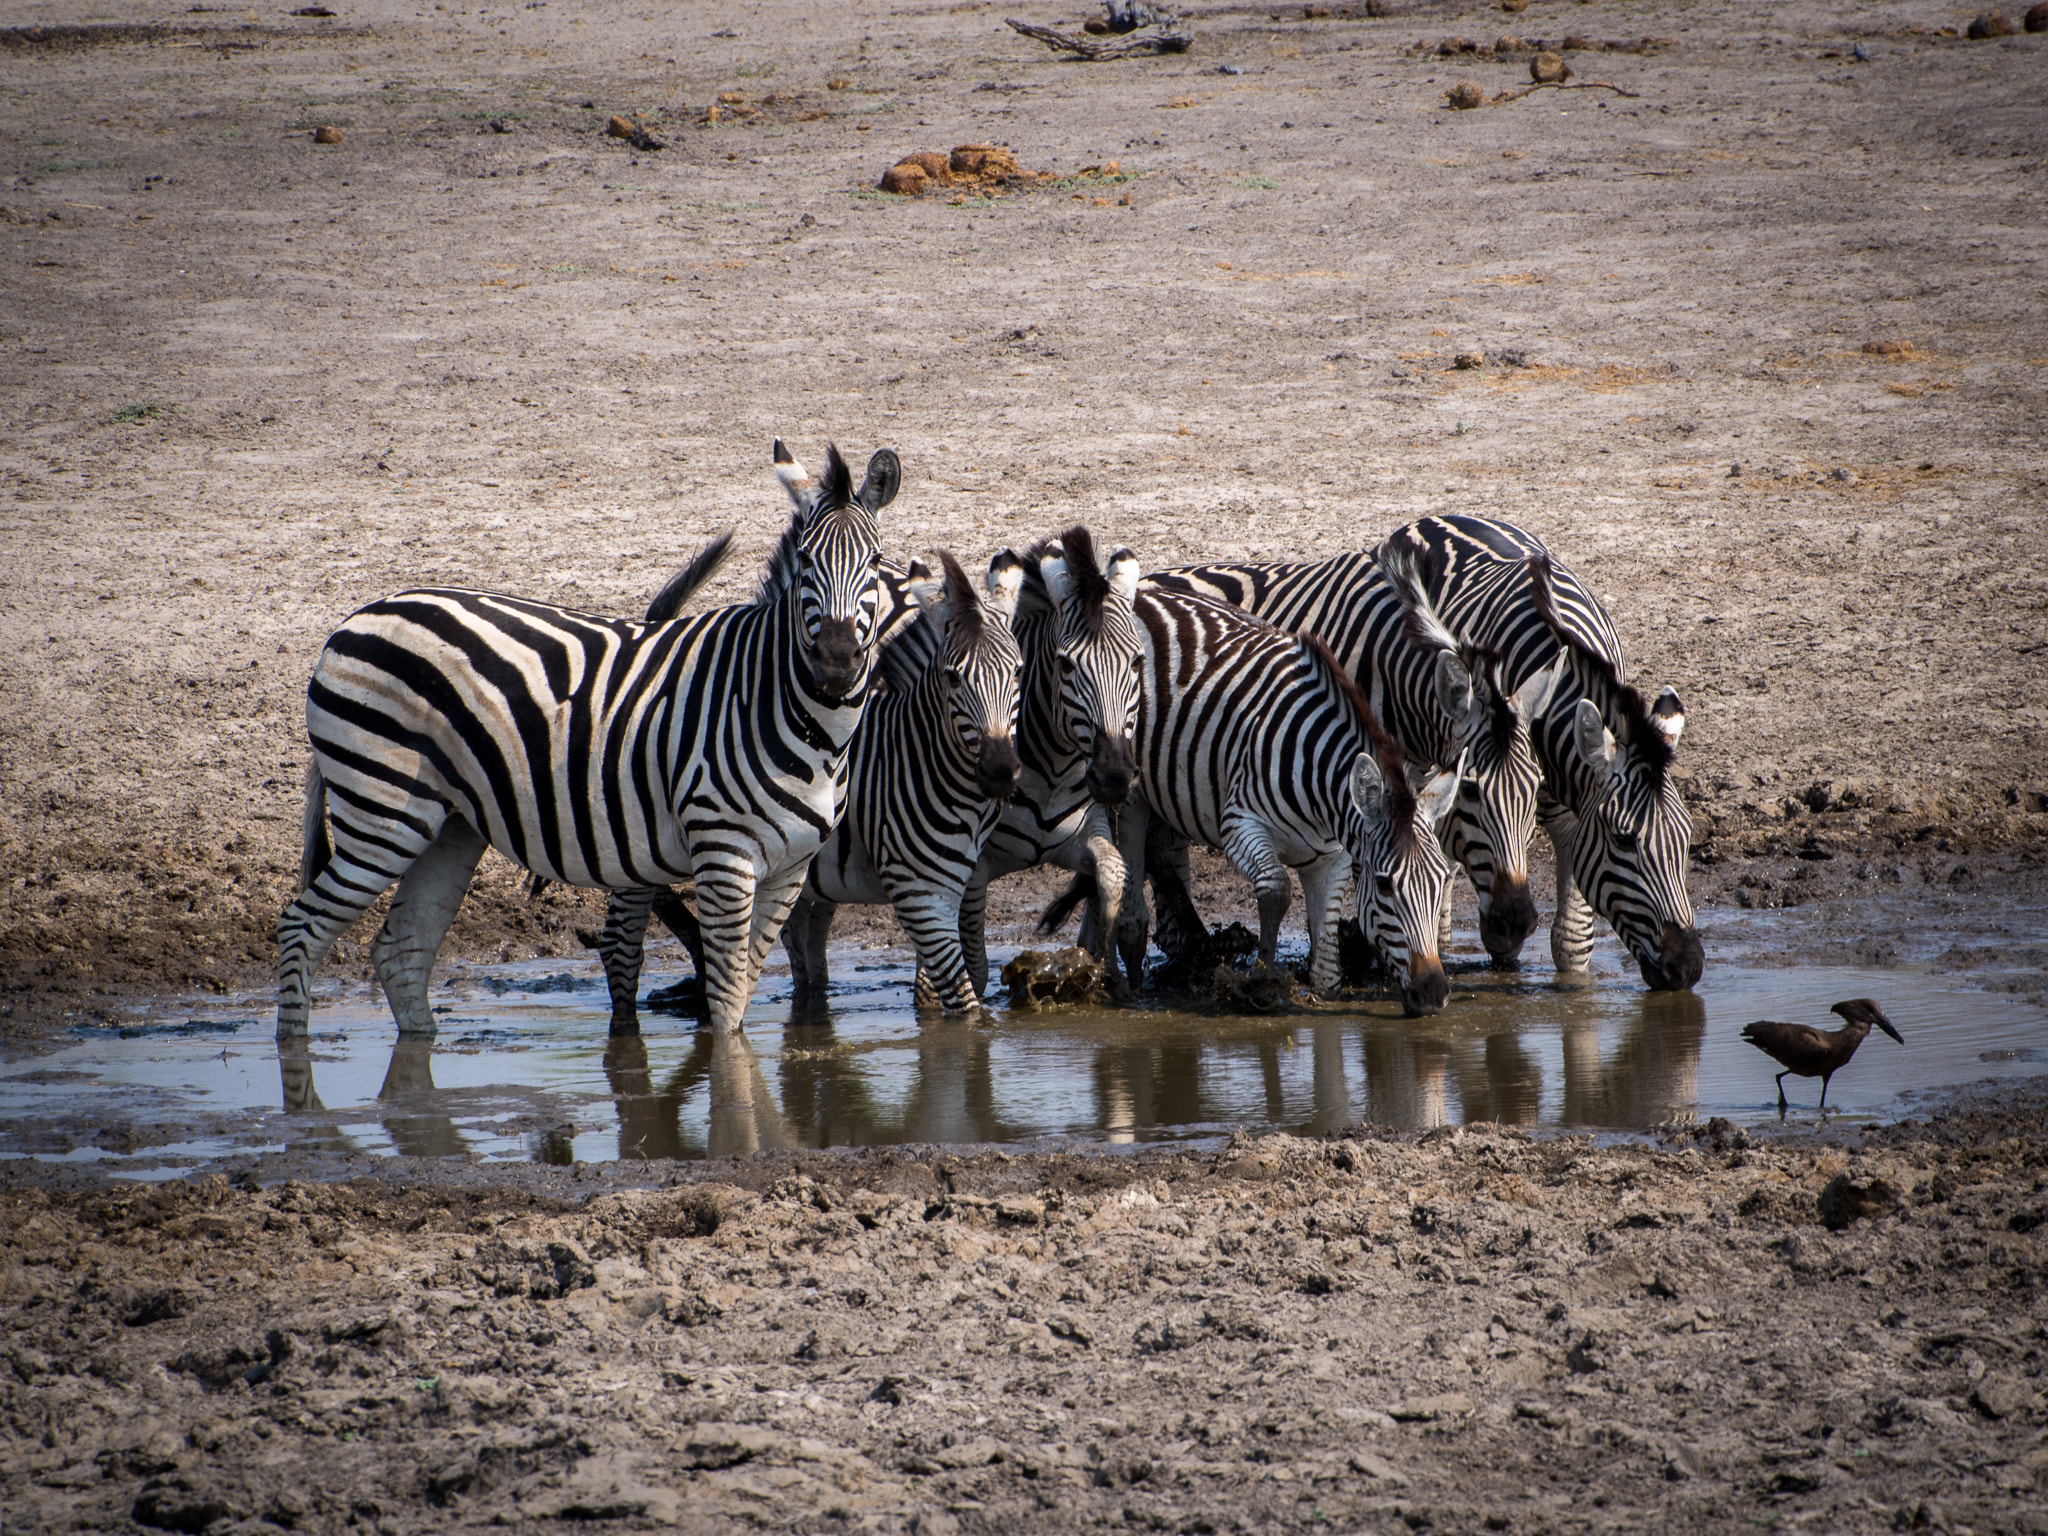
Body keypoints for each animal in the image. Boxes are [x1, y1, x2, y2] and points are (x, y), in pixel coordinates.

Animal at [276, 440, 898, 1041]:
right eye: (806, 564)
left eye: (874, 563)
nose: (837, 662)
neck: (798, 718)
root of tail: (357, 618)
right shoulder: (723, 855)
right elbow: (726, 1014)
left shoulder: (790, 868)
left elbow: (743, 991)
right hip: (382, 812)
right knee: (300, 928)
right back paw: (296, 1059)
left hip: (448, 825)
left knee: (401, 947)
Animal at [780, 550, 1027, 1014]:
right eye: (953, 677)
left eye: (1019, 672)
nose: (1000, 771)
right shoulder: (918, 893)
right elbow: (963, 1003)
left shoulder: (957, 884)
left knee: (800, 939)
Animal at [1093, 585, 1463, 1013]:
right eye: (1386, 886)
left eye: (1441, 881)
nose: (1434, 994)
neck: (1321, 795)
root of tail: (1141, 591)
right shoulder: (1240, 827)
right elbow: (1276, 891)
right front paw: (1262, 980)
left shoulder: (1334, 858)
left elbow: (1326, 967)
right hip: (1129, 787)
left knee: (1158, 849)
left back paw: (1192, 950)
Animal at [1380, 515, 1702, 991]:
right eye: (1624, 840)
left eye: (1687, 837)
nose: (1688, 968)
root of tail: (1436, 516)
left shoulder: (1575, 813)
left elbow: (1571, 941)